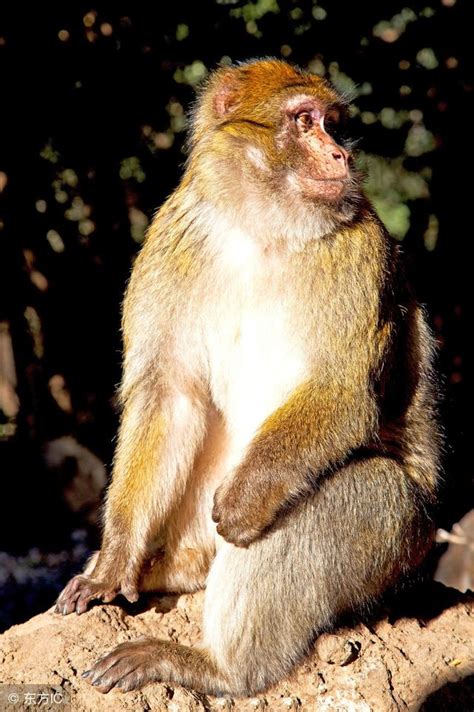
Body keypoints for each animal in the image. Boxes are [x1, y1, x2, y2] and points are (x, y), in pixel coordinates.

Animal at [54, 59, 440, 696]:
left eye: (333, 124)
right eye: (304, 121)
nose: (340, 155)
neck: (260, 228)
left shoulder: (360, 253)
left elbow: (340, 392)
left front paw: (243, 498)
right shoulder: (173, 238)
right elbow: (169, 396)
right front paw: (112, 564)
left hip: (399, 553)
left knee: (352, 493)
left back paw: (219, 667)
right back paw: (163, 573)